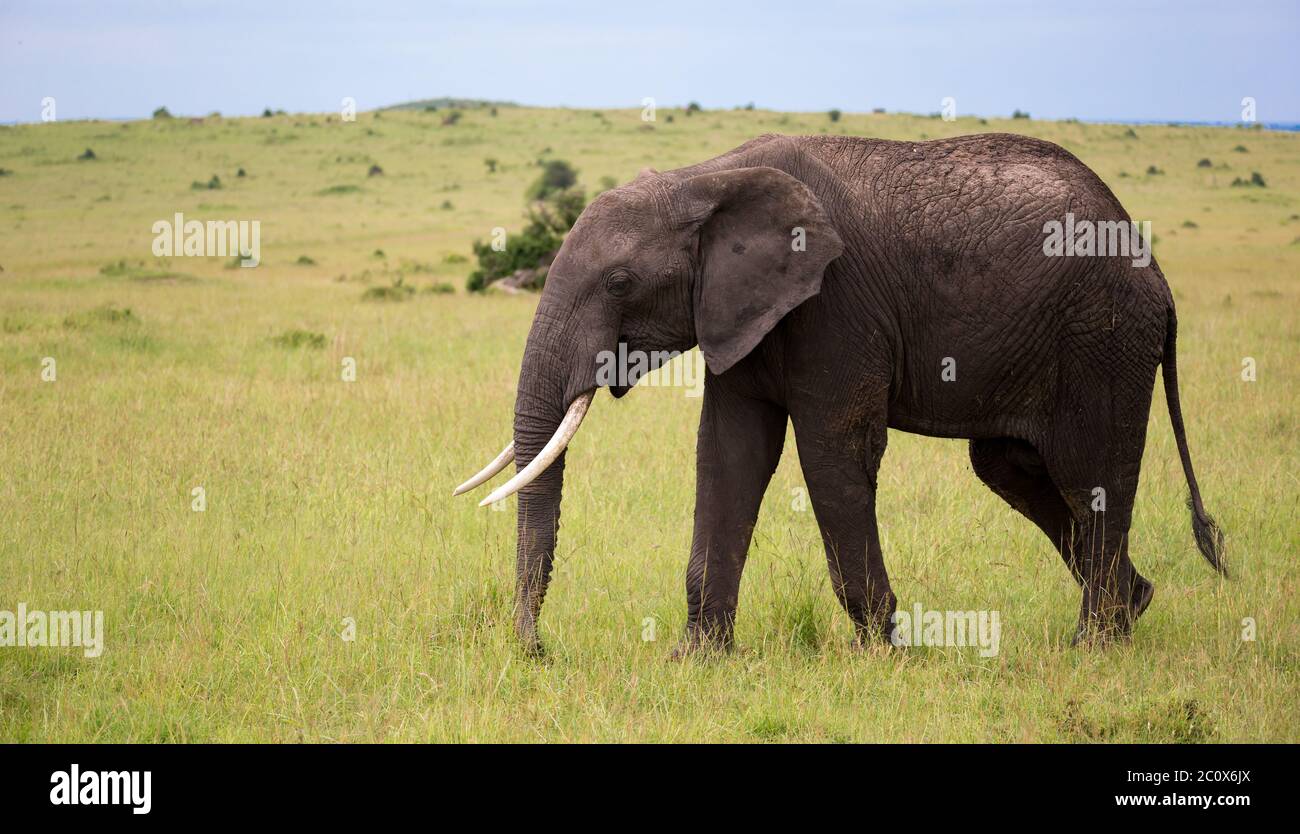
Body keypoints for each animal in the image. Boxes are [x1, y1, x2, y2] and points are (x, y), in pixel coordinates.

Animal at [454, 132, 1226, 656]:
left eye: (618, 283)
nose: (536, 650)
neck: (706, 178)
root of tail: (1155, 269)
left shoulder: (836, 305)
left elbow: (831, 452)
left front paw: (881, 652)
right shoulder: (742, 309)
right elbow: (728, 454)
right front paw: (697, 659)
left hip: (1102, 339)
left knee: (1089, 472)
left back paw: (1092, 645)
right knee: (1012, 468)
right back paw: (1131, 609)